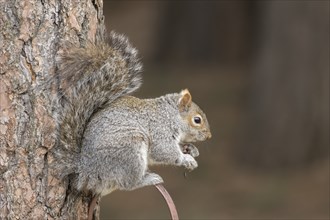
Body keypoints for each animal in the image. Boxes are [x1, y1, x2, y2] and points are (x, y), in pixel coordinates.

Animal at [51, 30, 211, 196]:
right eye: (197, 120)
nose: (209, 136)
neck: (169, 115)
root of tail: (86, 169)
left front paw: (191, 149)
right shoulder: (160, 131)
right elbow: (164, 152)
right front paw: (186, 159)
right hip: (130, 151)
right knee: (129, 184)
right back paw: (148, 179)